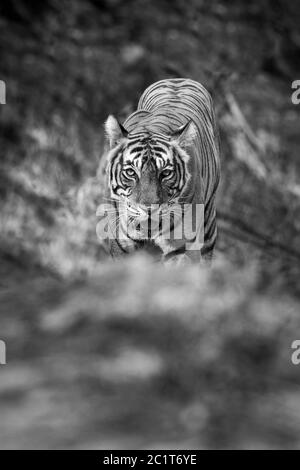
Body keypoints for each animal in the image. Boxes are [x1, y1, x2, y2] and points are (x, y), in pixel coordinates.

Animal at [97, 77, 219, 264]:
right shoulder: (121, 246)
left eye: (166, 173)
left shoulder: (181, 247)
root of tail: (177, 79)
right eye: (131, 172)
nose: (149, 209)